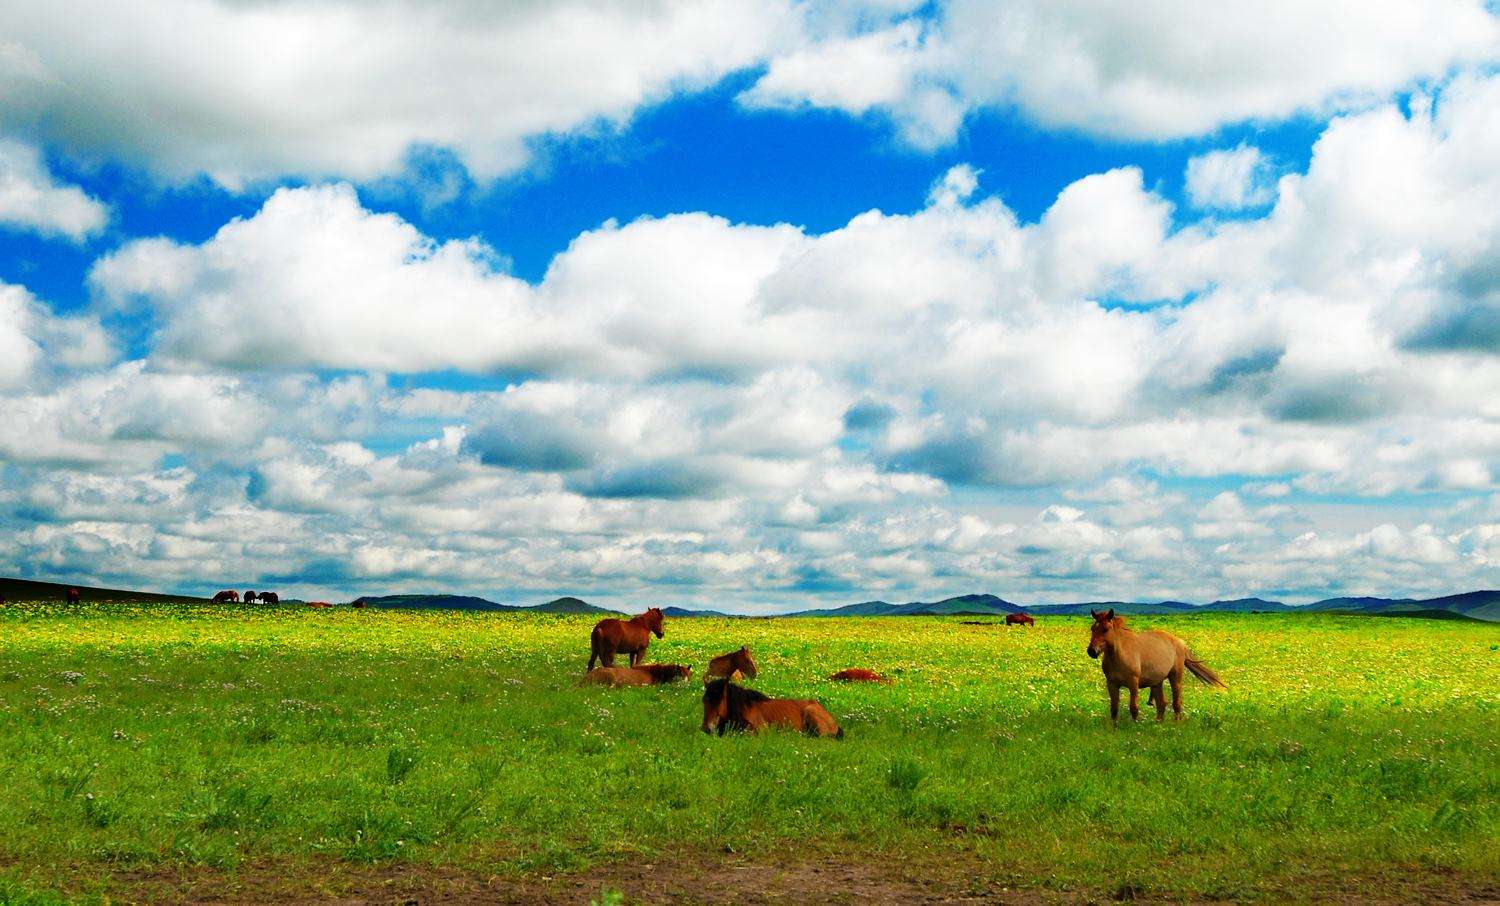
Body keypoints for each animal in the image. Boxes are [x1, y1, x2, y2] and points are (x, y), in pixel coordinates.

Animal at [1092, 609, 1230, 723]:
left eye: (1105, 629)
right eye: (1092, 629)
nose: (1092, 651)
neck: (1120, 654)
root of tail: (1180, 642)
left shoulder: (1133, 683)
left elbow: (1134, 708)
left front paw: (1135, 727)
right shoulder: (1111, 684)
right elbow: (1114, 709)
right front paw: (1114, 729)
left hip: (1175, 678)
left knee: (1176, 703)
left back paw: (1175, 724)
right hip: (1157, 682)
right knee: (1161, 704)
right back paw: (1158, 725)